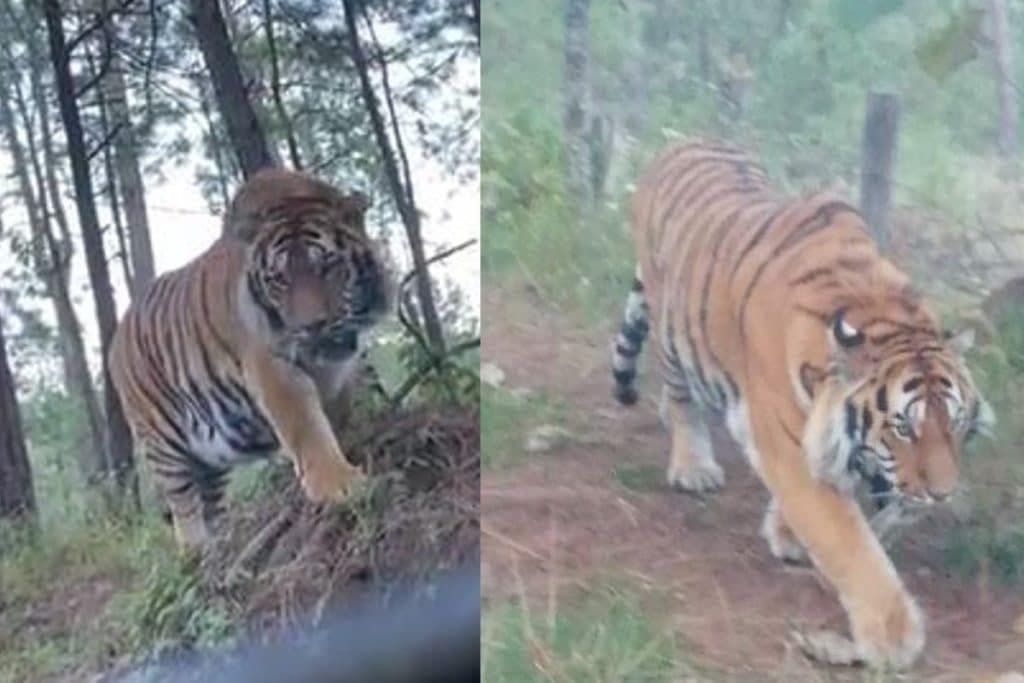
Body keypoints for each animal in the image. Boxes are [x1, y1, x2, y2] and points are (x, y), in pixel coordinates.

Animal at [109, 167, 391, 552]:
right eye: (280, 279)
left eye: (328, 266)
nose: (312, 325)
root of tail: (115, 336)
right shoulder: (272, 366)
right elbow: (306, 427)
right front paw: (339, 486)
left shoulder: (343, 370)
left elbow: (336, 416)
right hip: (161, 439)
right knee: (183, 503)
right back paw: (196, 551)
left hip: (211, 460)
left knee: (209, 501)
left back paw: (220, 543)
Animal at [610, 141, 993, 669]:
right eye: (903, 428)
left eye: (953, 424)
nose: (942, 495)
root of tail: (682, 142)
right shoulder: (790, 449)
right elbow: (851, 545)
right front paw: (893, 639)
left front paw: (786, 533)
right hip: (671, 324)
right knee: (681, 393)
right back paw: (693, 465)